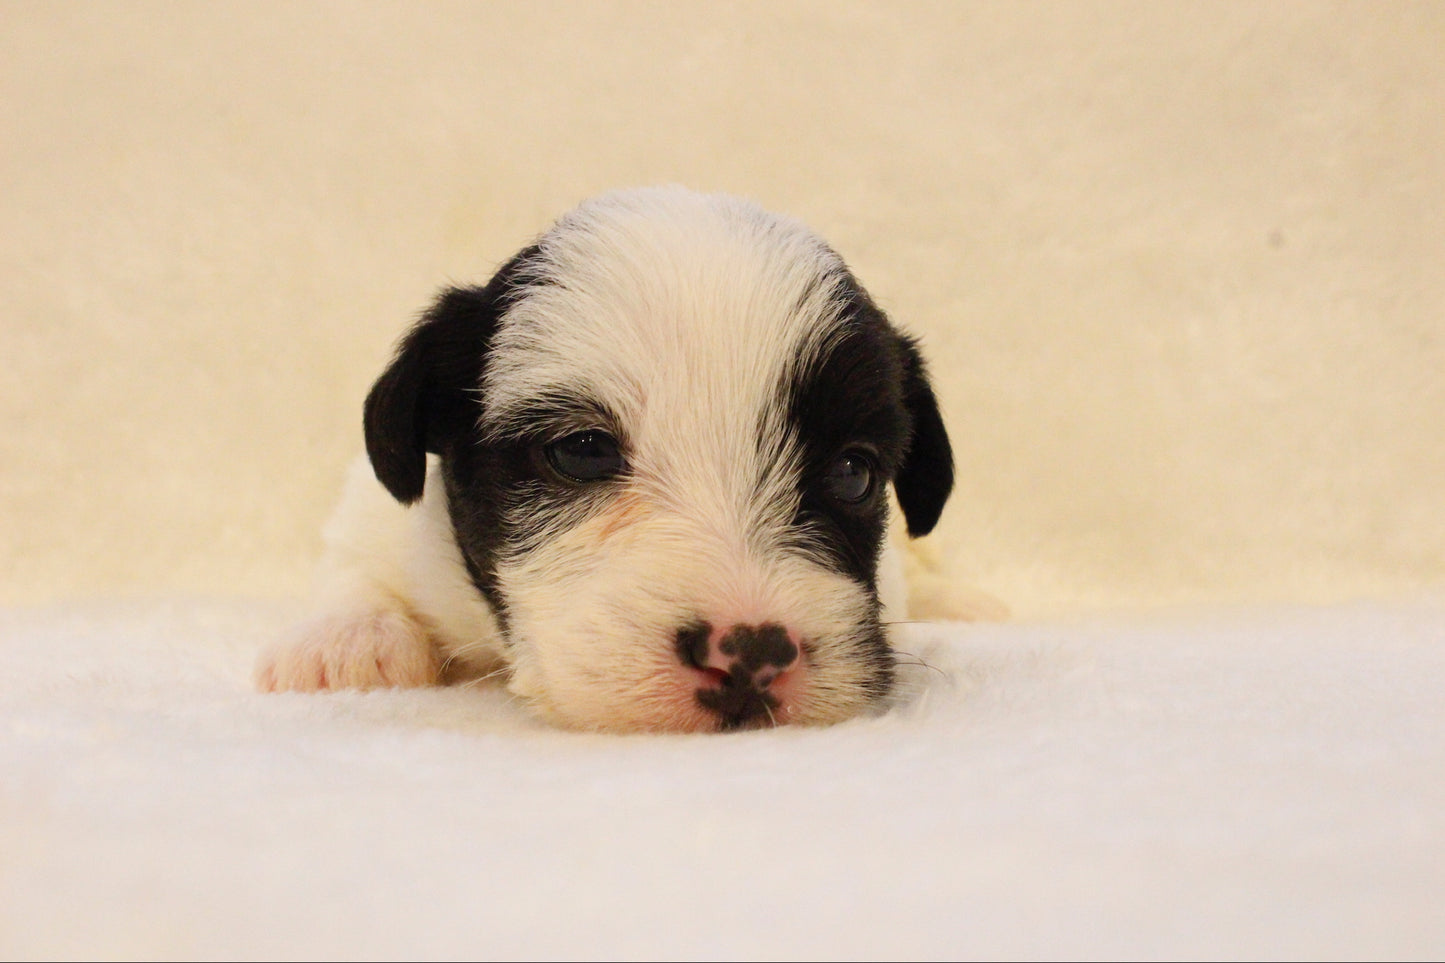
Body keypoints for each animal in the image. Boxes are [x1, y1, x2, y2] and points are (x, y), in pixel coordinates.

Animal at [260, 185, 959, 728]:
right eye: (583, 451)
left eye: (852, 473)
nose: (752, 651)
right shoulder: (386, 524)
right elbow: (356, 559)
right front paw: (346, 640)